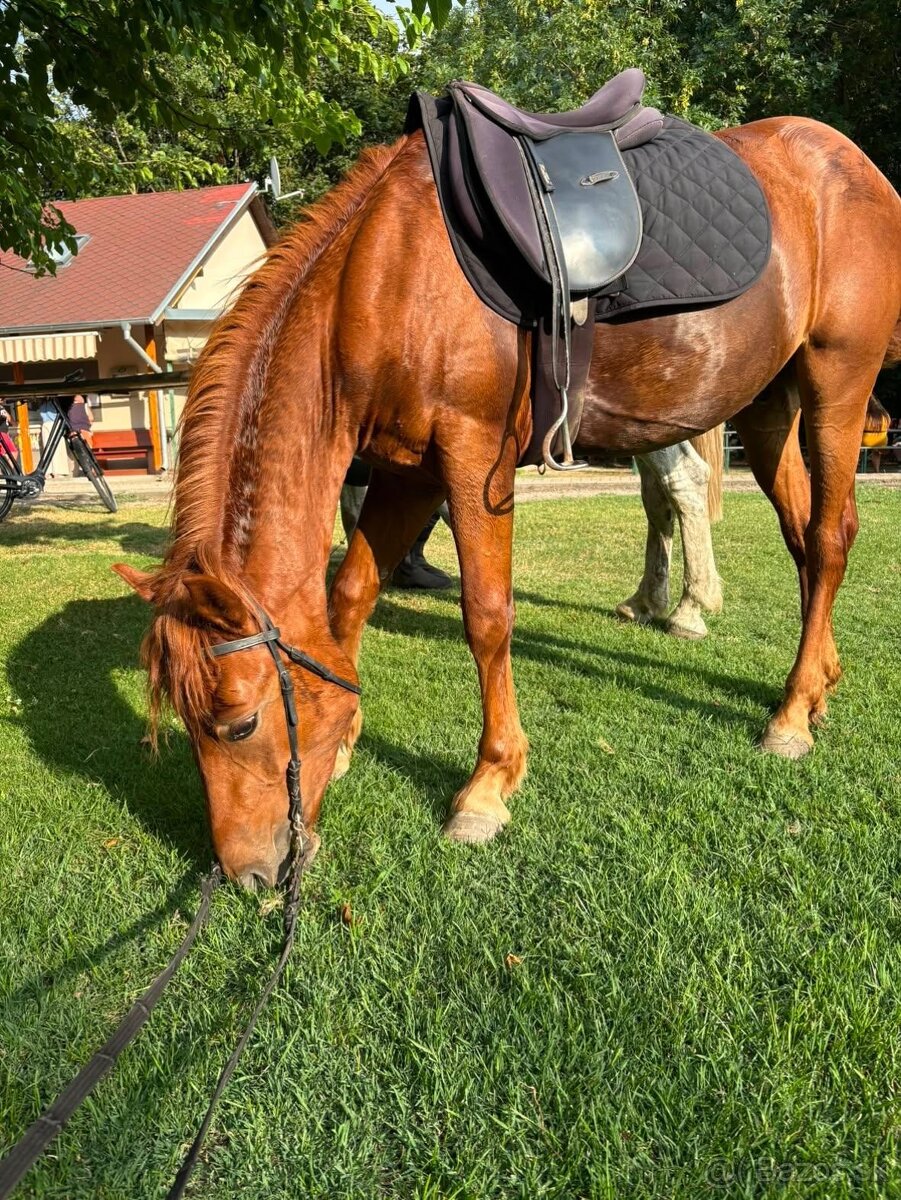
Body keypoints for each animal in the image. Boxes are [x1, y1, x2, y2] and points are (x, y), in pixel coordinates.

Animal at [115, 114, 901, 887]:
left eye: (239, 723)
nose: (247, 875)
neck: (381, 276)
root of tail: (854, 164)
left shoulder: (472, 459)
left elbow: (487, 617)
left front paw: (487, 787)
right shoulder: (409, 474)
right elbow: (351, 595)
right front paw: (344, 740)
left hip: (835, 387)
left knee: (829, 537)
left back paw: (789, 714)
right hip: (769, 408)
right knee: (803, 538)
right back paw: (816, 680)